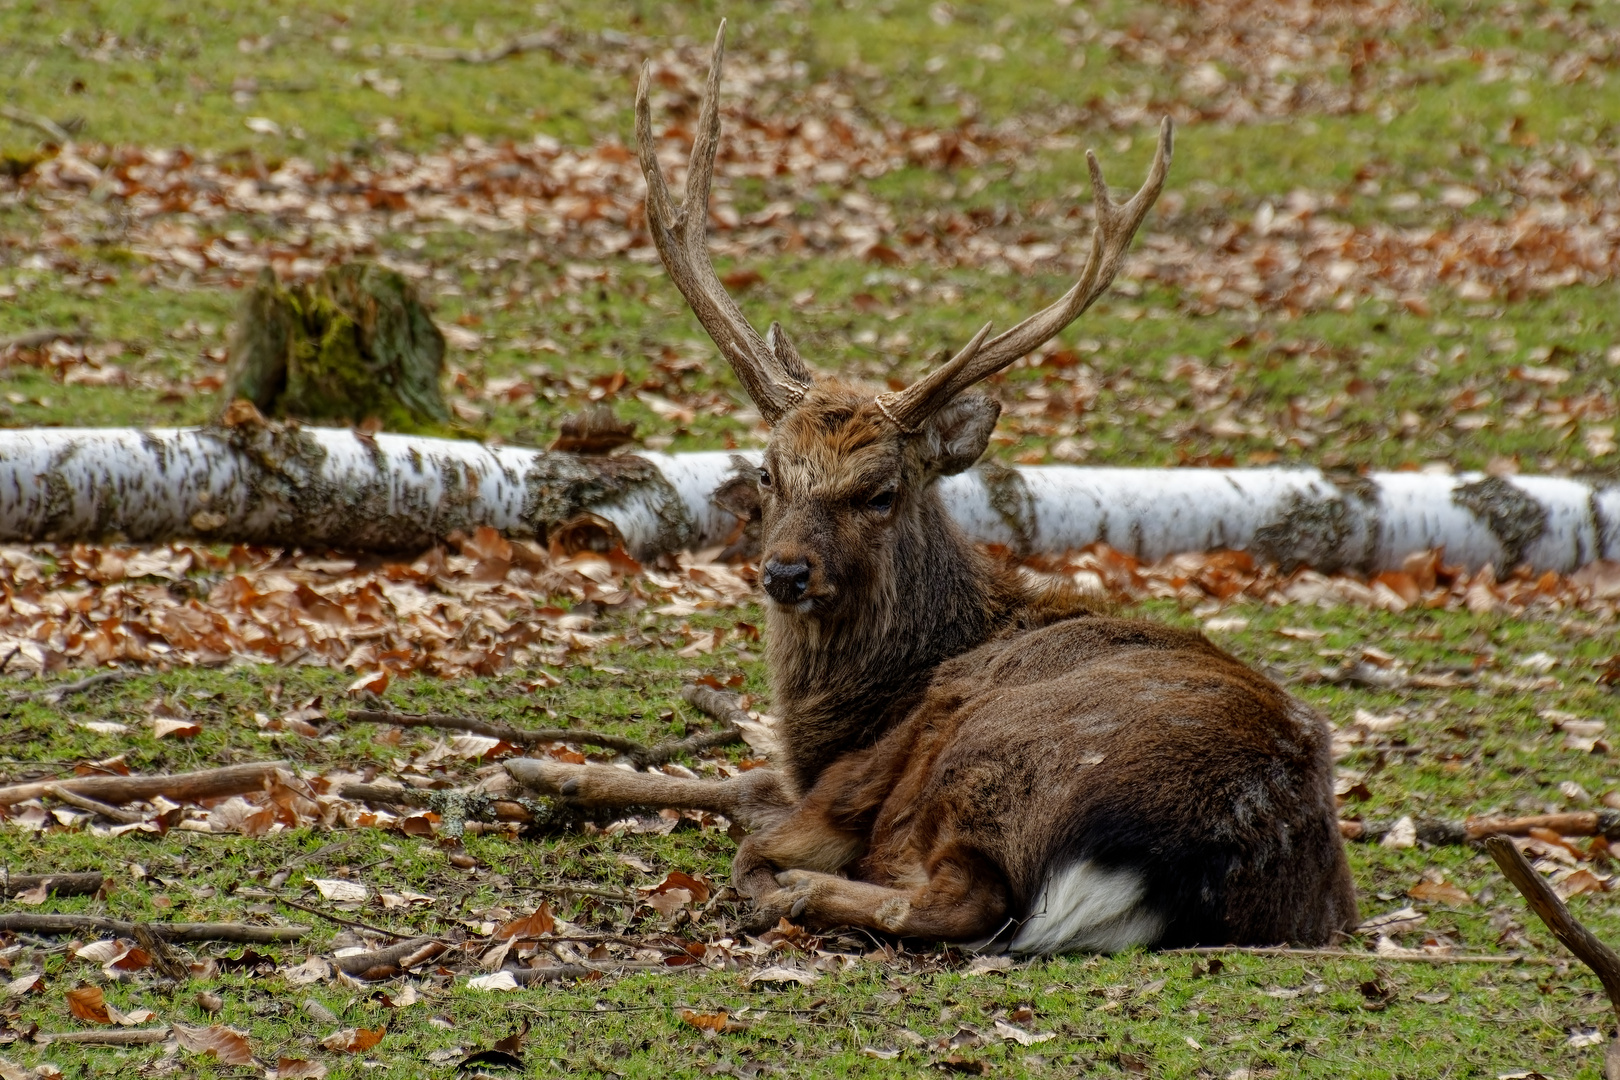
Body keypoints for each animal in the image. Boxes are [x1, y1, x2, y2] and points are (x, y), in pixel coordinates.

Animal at [505, 25, 1354, 952]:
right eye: (769, 471)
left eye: (880, 492)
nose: (785, 574)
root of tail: (1180, 854)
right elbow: (739, 778)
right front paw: (528, 770)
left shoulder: (858, 766)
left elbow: (748, 794)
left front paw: (534, 768)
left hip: (978, 749)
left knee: (931, 894)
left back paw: (790, 890)